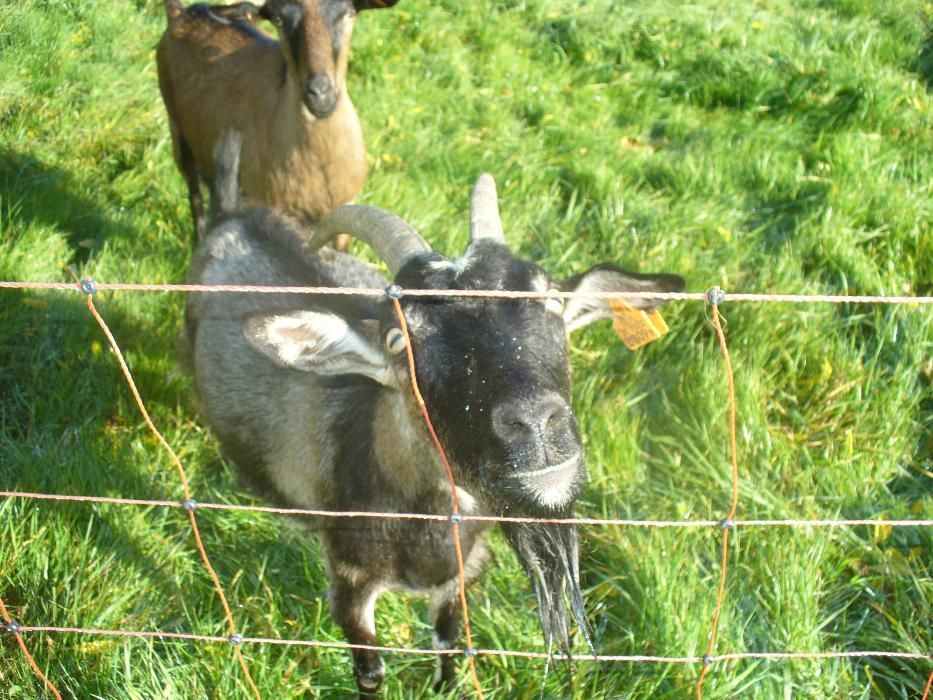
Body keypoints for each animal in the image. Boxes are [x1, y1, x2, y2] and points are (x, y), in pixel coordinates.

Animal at [157, 0, 396, 242]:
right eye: (279, 19)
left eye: (348, 13)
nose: (319, 93)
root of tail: (183, 12)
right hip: (178, 131)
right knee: (194, 193)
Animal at [187, 133, 684, 696]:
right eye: (399, 339)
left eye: (553, 301)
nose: (535, 425)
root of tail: (235, 217)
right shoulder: (349, 579)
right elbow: (370, 671)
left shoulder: (462, 575)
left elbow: (449, 641)